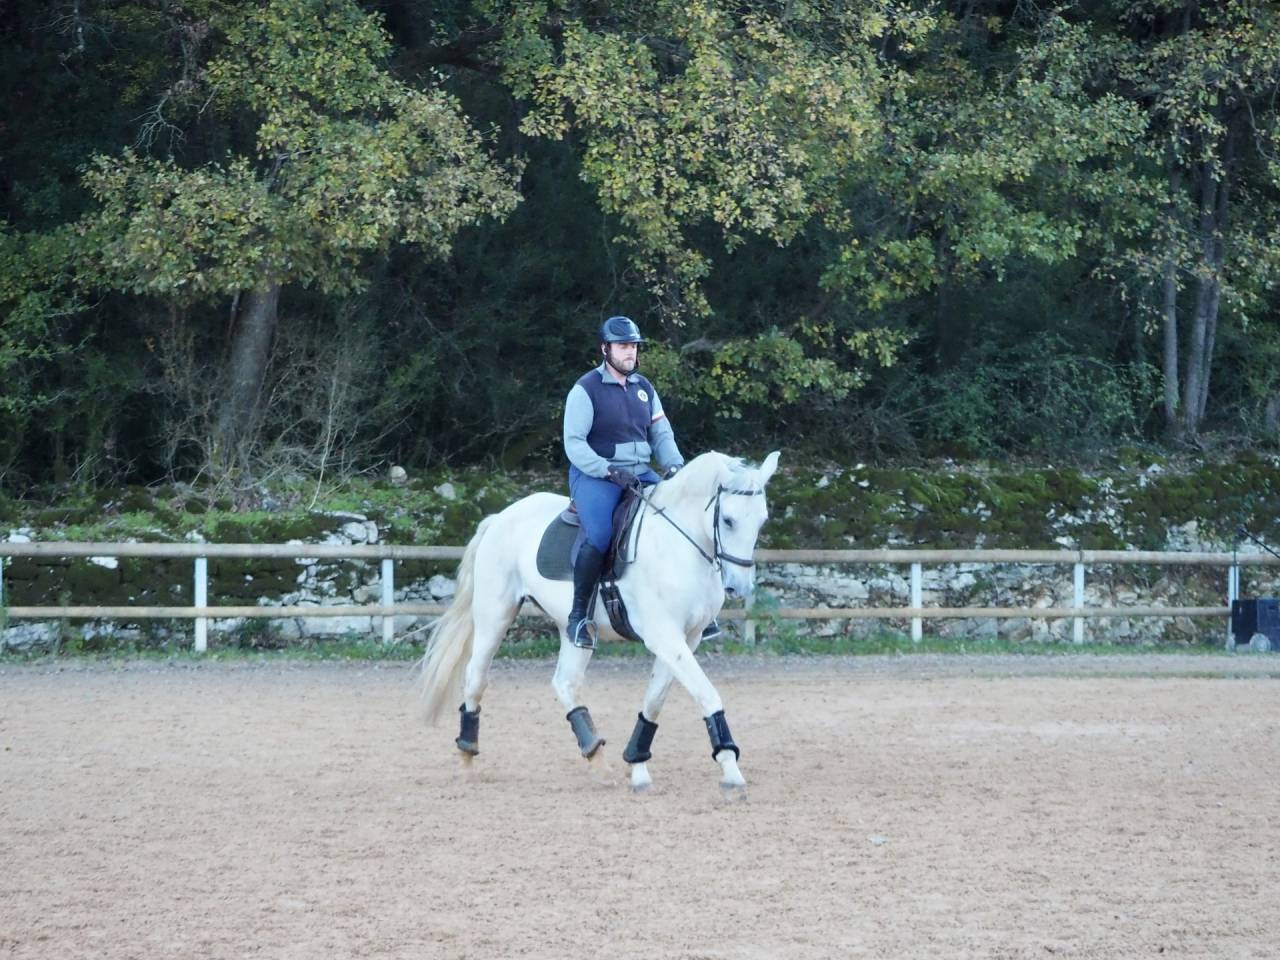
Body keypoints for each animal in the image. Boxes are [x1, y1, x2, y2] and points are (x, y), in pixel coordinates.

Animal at [417, 450, 780, 794]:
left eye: (762, 520)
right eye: (728, 520)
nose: (739, 587)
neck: (678, 543)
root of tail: (500, 518)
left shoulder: (686, 638)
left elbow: (654, 701)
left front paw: (638, 768)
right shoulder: (664, 635)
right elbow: (707, 694)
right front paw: (731, 771)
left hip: (572, 629)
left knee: (565, 683)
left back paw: (597, 758)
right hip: (495, 616)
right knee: (475, 678)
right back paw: (466, 757)